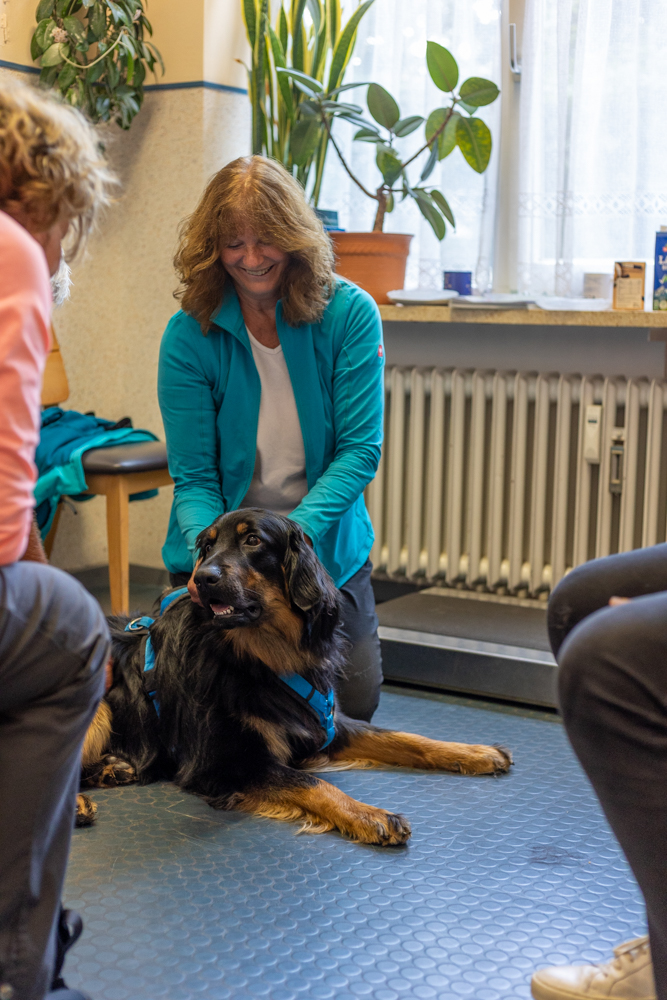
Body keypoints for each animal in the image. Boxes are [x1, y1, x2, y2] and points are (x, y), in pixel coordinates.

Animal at [77, 509, 512, 844]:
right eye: (207, 547)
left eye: (252, 540)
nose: (202, 578)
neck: (263, 658)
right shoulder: (224, 764)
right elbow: (312, 784)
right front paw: (369, 815)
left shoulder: (325, 724)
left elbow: (405, 738)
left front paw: (474, 752)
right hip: (98, 706)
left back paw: (111, 769)